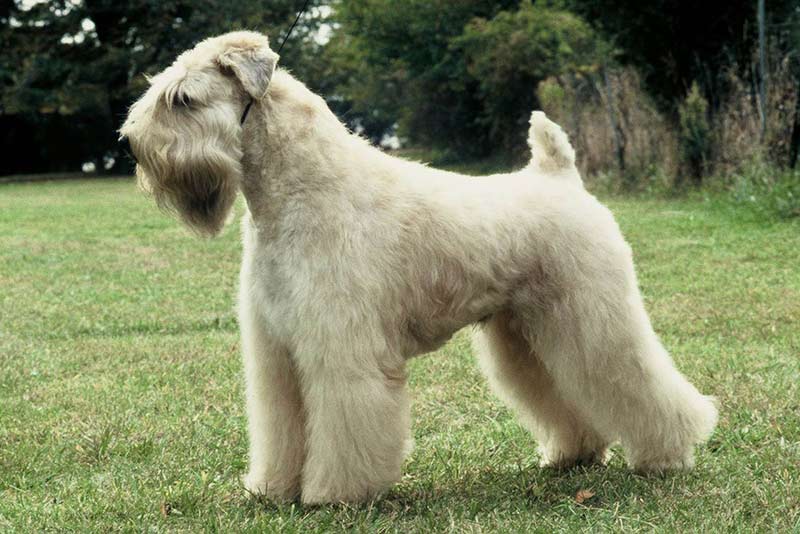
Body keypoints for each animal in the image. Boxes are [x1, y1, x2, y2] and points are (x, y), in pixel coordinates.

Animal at [122, 30, 720, 506]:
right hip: (527, 333)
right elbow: (281, 429)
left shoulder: (341, 351)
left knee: (639, 382)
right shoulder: (277, 353)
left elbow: (344, 428)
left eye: (183, 98)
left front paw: (333, 495)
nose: (129, 145)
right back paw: (573, 454)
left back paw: (668, 454)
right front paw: (272, 489)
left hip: (592, 319)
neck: (297, 191)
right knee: (564, 396)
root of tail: (560, 177)